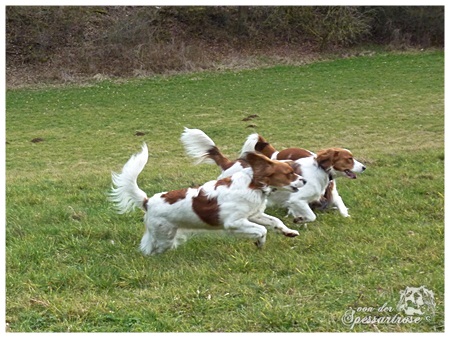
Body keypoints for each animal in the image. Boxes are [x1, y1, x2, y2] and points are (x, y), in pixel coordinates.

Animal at [109, 142, 306, 254]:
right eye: (289, 173)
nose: (304, 180)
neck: (253, 184)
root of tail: (148, 201)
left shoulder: (253, 214)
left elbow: (275, 221)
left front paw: (289, 232)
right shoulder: (234, 222)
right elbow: (262, 230)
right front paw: (260, 242)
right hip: (163, 236)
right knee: (150, 249)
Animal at [180, 128, 366, 223]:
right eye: (349, 159)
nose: (364, 167)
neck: (319, 169)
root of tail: (230, 163)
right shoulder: (297, 199)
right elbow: (311, 216)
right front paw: (300, 219)